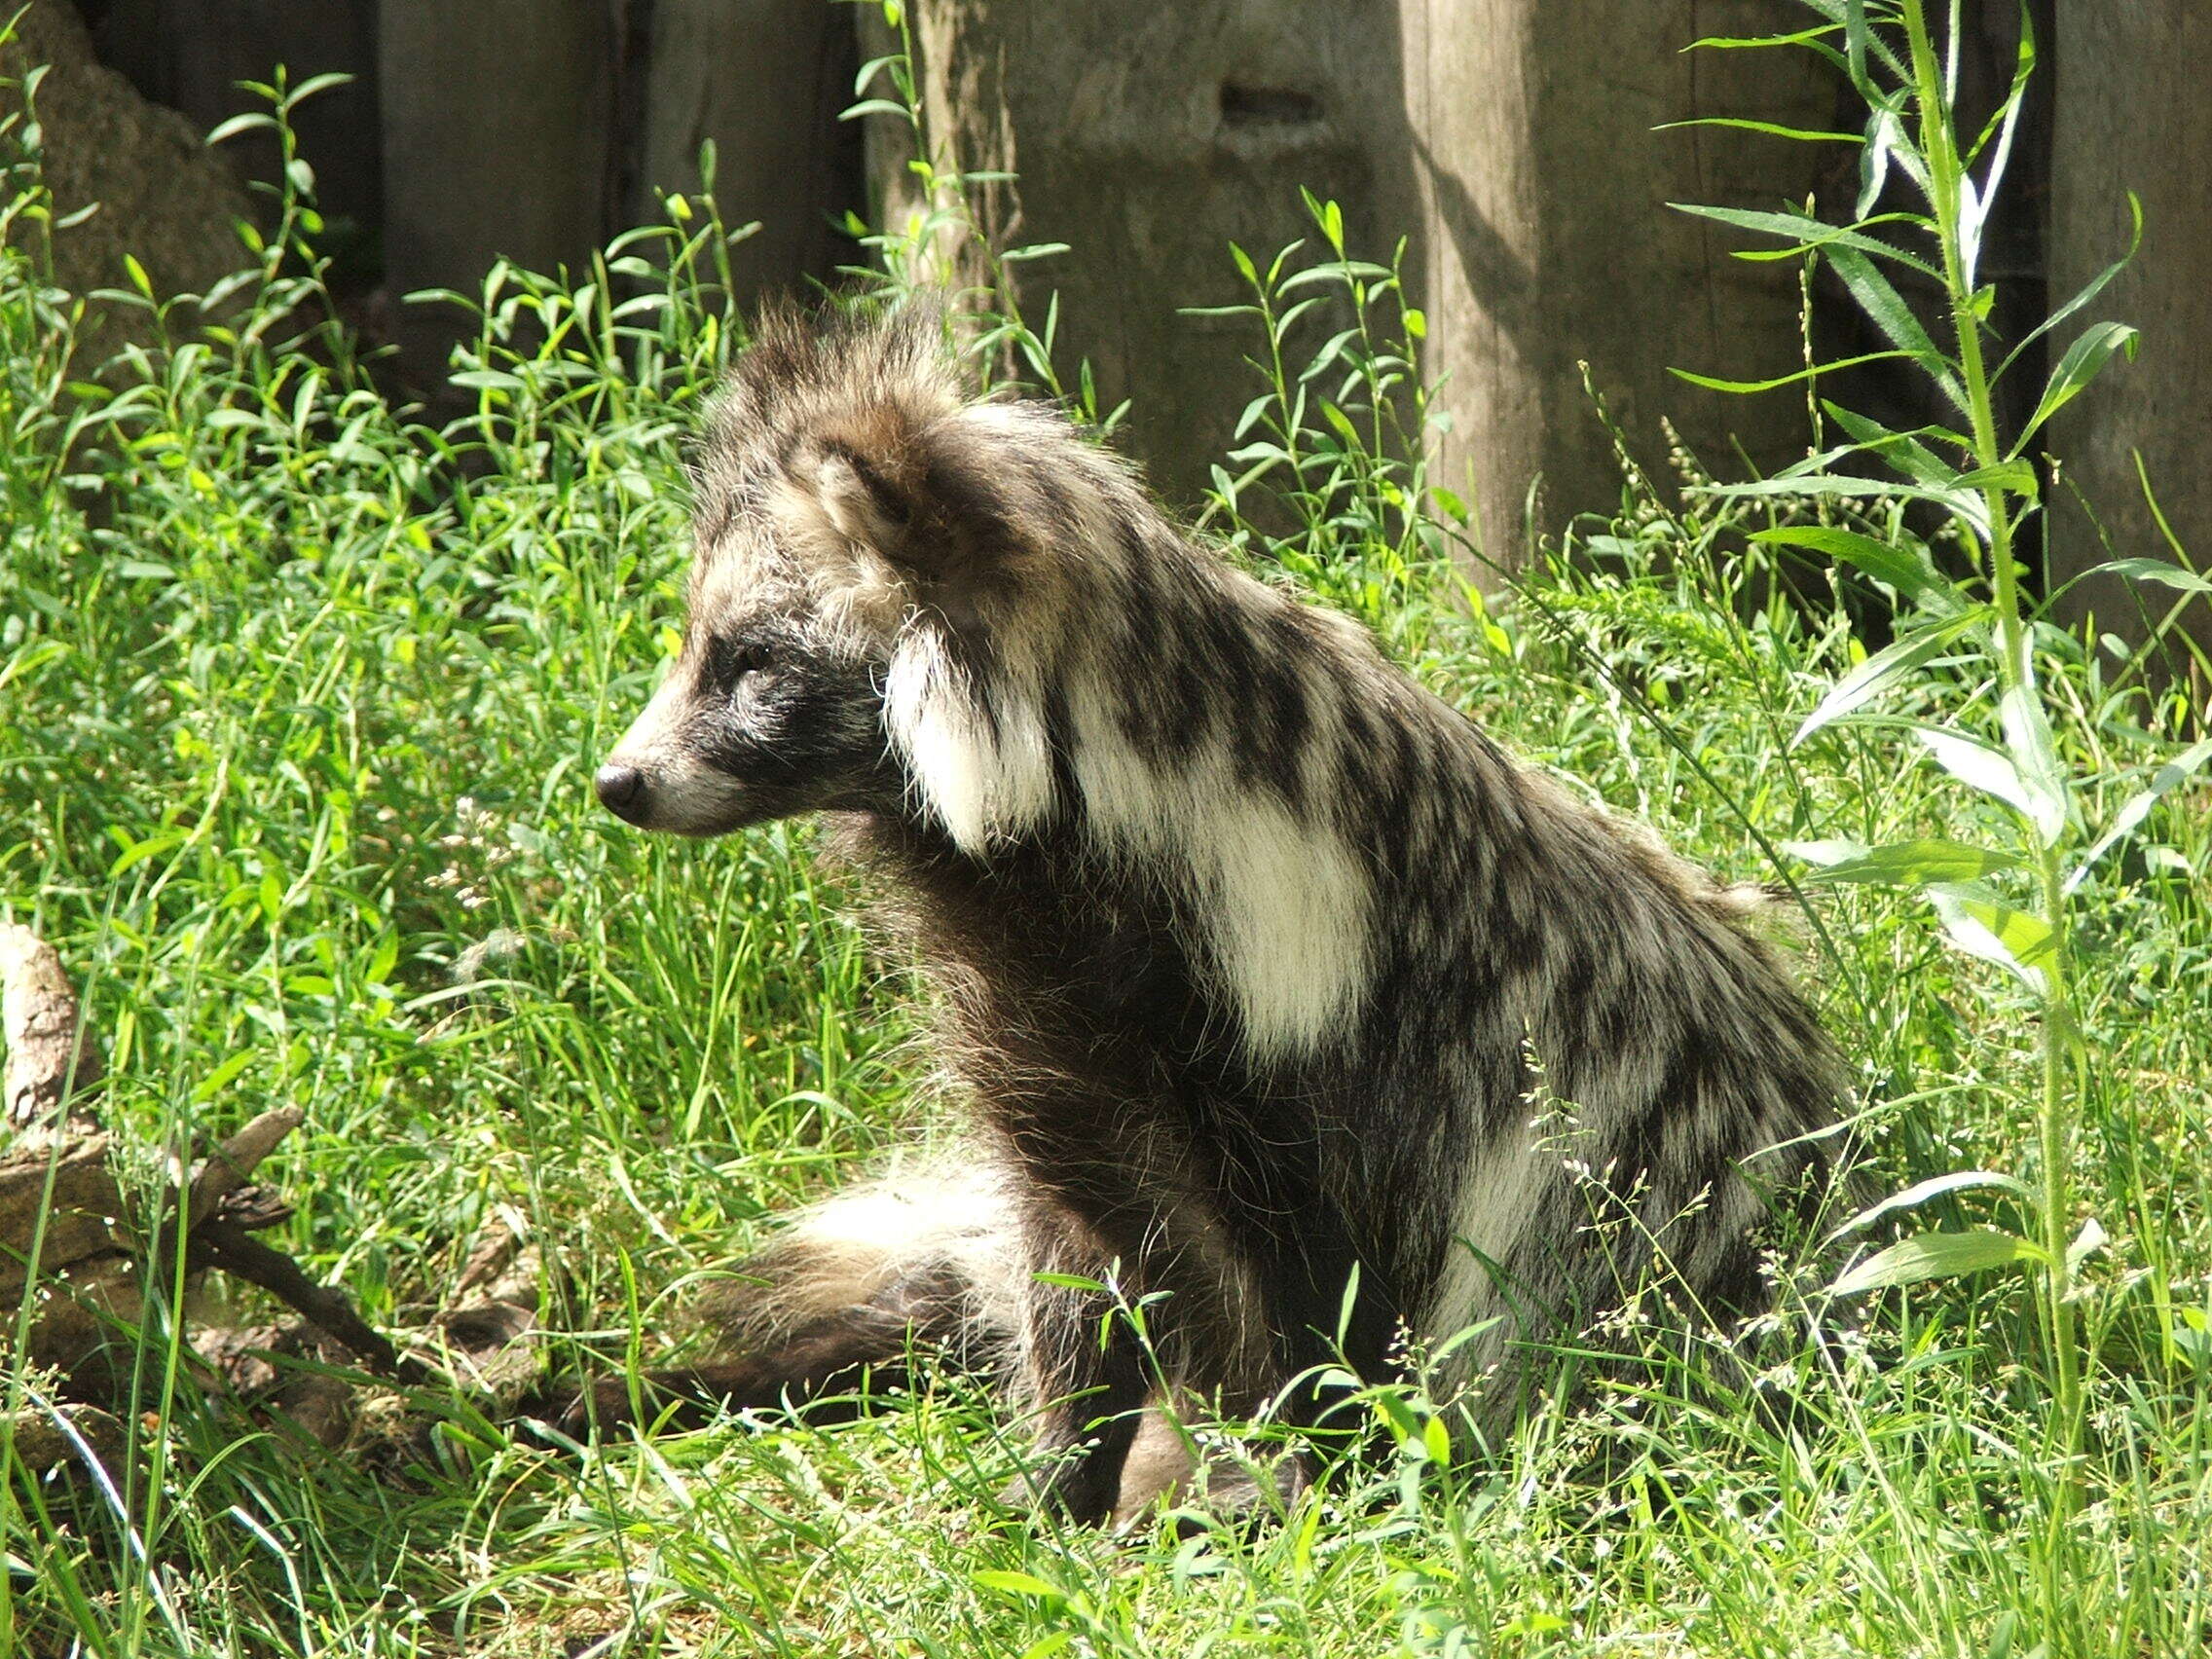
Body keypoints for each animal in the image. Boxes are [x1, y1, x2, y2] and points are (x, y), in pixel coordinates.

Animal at [579, 305, 1840, 1530]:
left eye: (752, 660)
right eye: (703, 642)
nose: (619, 781)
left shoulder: (1324, 1045)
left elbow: (1334, 1302)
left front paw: (1306, 1489)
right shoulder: (1060, 1058)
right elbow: (1077, 1273)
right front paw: (1049, 1489)